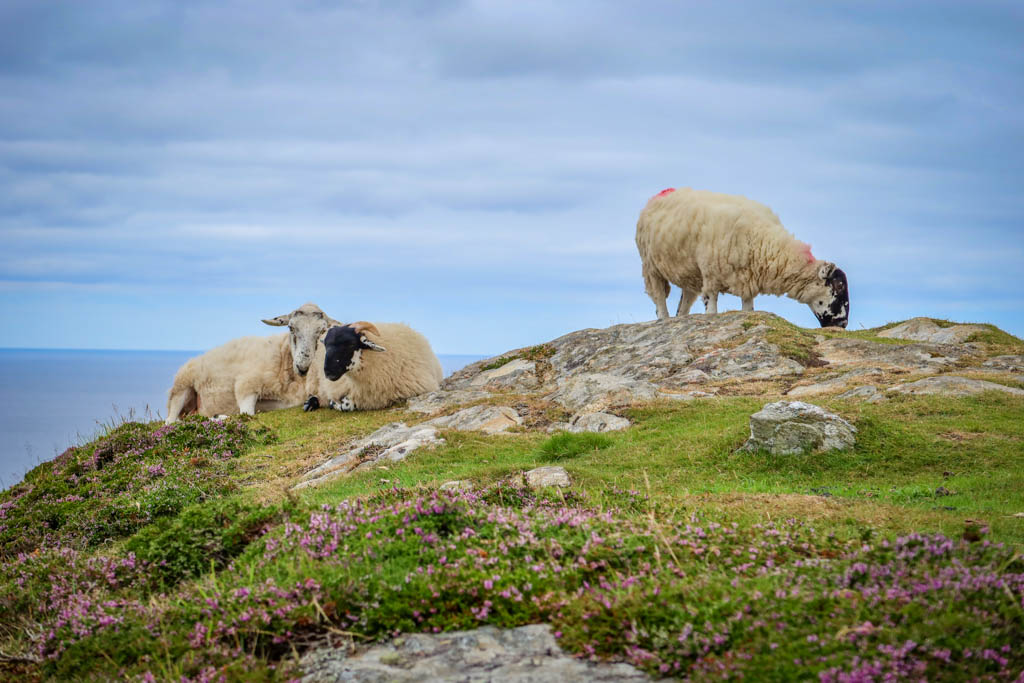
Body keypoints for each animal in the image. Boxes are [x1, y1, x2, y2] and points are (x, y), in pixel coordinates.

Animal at [164, 302, 341, 423]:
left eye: (322, 331)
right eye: (291, 328)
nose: (303, 367)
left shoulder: (286, 402)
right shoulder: (246, 384)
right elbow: (247, 414)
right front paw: (220, 416)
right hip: (181, 387)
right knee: (170, 421)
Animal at [302, 321, 444, 412]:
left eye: (351, 344)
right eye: (326, 345)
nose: (328, 372)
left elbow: (346, 405)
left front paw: (336, 404)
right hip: (314, 380)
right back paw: (309, 404)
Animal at [635, 187, 849, 328]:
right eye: (838, 286)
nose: (843, 324)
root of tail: (662, 193)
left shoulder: (747, 279)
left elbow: (748, 308)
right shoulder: (711, 276)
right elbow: (711, 309)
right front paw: (710, 318)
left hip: (690, 274)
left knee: (684, 303)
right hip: (651, 266)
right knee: (659, 297)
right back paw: (663, 319)